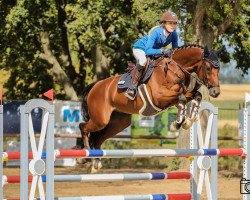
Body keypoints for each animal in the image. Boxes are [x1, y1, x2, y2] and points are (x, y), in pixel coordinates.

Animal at [78, 45, 223, 172]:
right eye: (208, 68)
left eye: (219, 69)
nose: (216, 92)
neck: (174, 69)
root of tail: (95, 86)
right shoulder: (160, 97)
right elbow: (181, 98)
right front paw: (177, 124)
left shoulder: (176, 98)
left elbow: (195, 96)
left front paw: (188, 120)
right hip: (100, 120)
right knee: (83, 127)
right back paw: (85, 157)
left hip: (117, 123)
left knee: (97, 138)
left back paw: (96, 162)